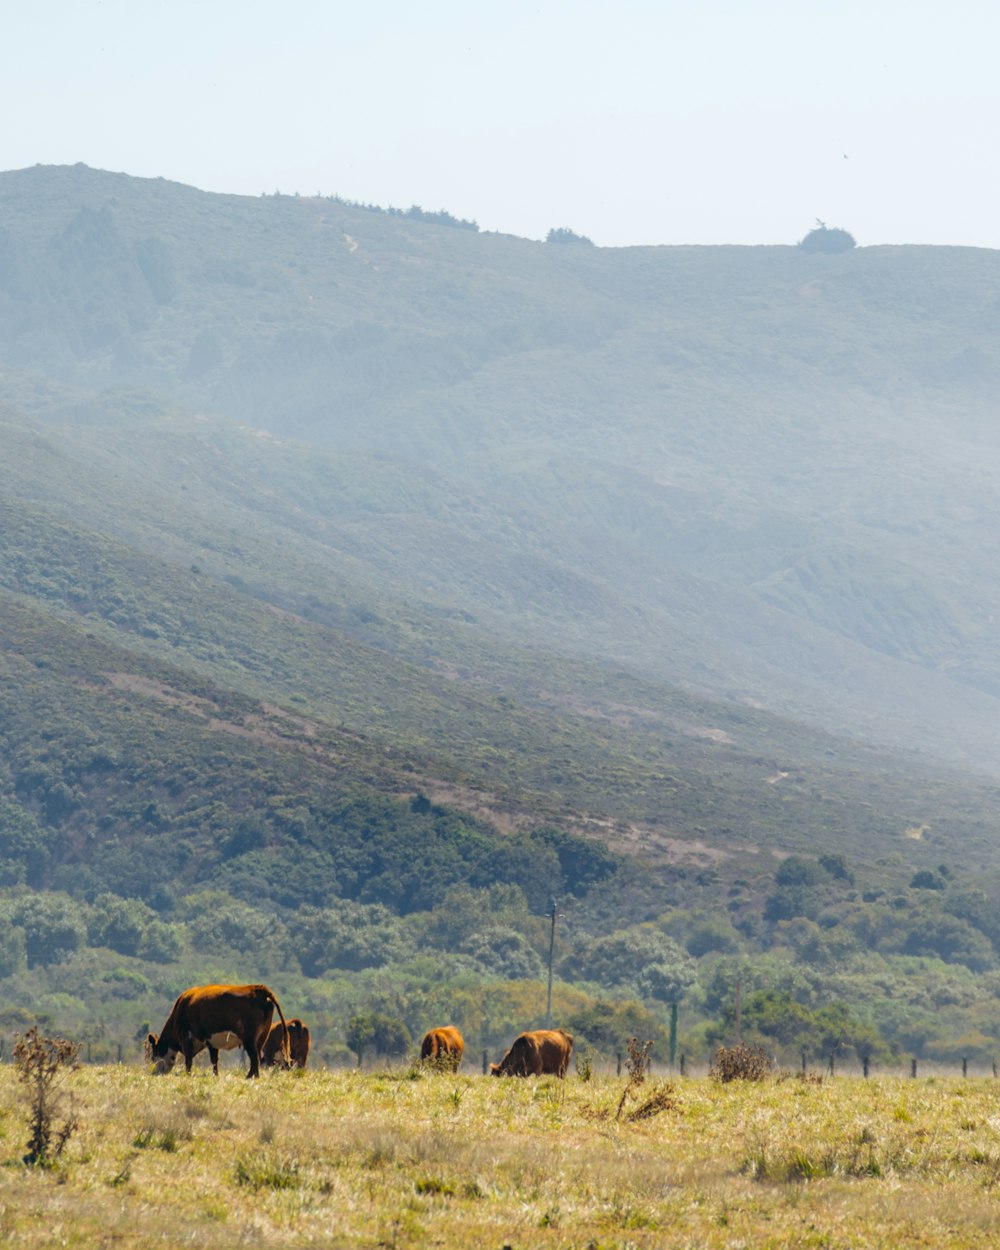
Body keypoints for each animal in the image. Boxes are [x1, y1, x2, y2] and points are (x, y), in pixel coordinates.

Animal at [148, 980, 288, 1080]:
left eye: (153, 1056)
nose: (154, 1073)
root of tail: (257, 989)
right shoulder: (211, 1041)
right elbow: (214, 1060)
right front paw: (215, 1075)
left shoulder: (186, 1035)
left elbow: (188, 1060)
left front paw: (188, 1075)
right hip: (262, 1036)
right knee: (257, 1057)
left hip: (249, 1037)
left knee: (254, 1058)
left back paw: (249, 1077)